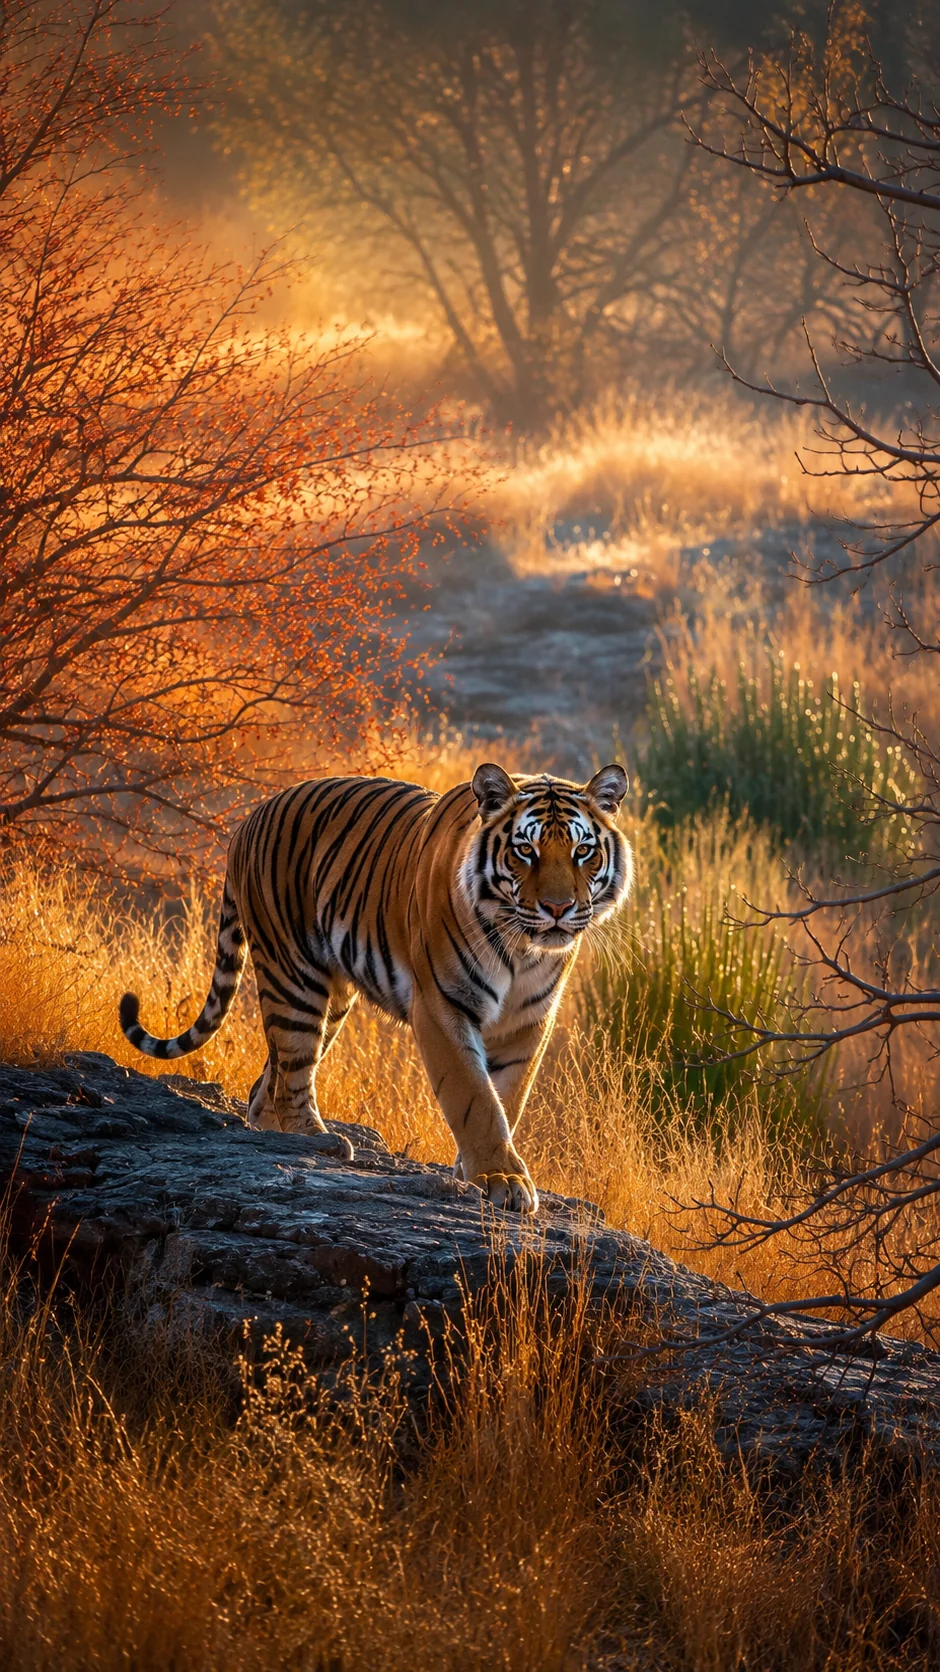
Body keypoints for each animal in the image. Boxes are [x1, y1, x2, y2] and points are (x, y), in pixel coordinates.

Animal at [119, 762, 633, 1212]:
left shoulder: (529, 1021)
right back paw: (316, 1140)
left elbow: (507, 1097)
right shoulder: (442, 1006)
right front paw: (500, 1178)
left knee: (269, 1081)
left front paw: (480, 1170)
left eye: (582, 852)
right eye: (526, 850)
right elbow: (475, 1097)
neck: (524, 950)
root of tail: (248, 819)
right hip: (294, 976)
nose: (558, 908)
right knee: (291, 1071)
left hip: (333, 999)